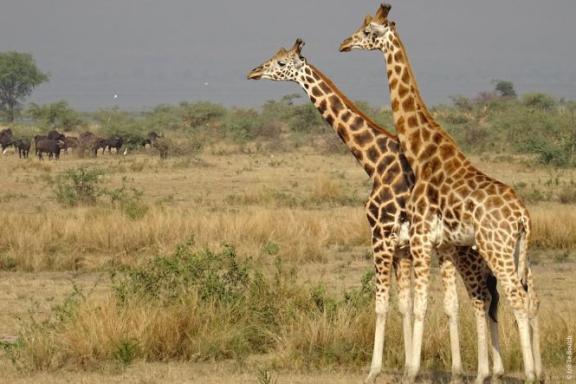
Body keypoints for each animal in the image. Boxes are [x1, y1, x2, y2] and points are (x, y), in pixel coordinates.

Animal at [248, 39, 500, 384]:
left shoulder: (380, 234)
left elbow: (382, 305)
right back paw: (484, 370)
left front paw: (374, 370)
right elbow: (405, 305)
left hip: (468, 252)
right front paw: (410, 367)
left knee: (483, 297)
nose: (253, 72)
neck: (375, 162)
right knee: (485, 298)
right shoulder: (402, 247)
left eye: (282, 63)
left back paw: (487, 370)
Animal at [340, 4, 544, 382]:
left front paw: (411, 370)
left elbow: (421, 305)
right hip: (515, 251)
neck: (423, 154)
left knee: (516, 298)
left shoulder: (421, 238)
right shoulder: (444, 244)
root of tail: (524, 216)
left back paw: (529, 374)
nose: (344, 44)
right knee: (518, 297)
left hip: (495, 249)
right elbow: (443, 305)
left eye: (370, 32)